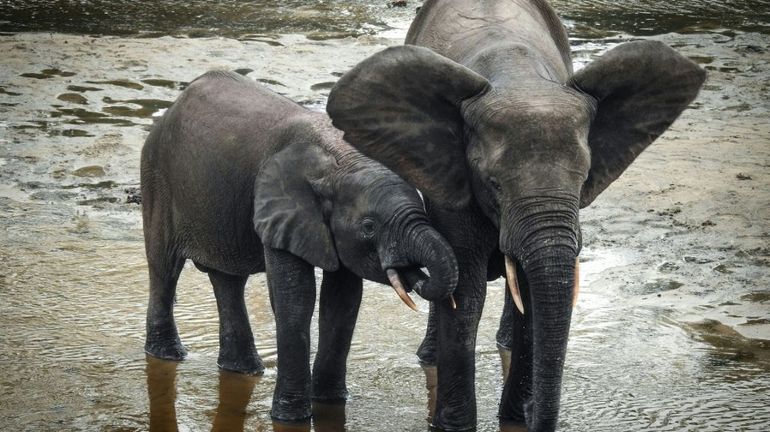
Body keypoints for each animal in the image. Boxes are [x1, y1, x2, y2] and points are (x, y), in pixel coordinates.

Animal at [140, 70, 456, 422]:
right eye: (369, 227)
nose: (413, 273)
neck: (342, 161)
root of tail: (172, 106)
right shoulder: (279, 207)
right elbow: (296, 296)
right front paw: (291, 417)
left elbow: (343, 299)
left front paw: (331, 402)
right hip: (156, 175)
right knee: (164, 267)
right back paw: (169, 355)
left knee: (227, 280)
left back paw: (243, 370)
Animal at [324, 0, 704, 428]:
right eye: (494, 183)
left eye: (584, 180)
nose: (541, 417)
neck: (518, 78)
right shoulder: (458, 179)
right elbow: (467, 295)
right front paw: (456, 425)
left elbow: (531, 297)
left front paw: (515, 419)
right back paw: (429, 357)